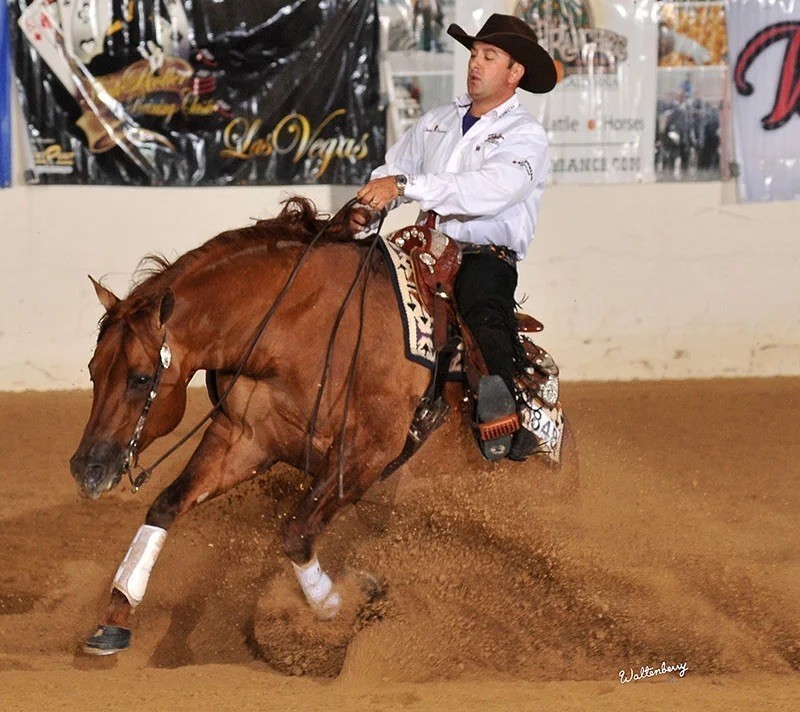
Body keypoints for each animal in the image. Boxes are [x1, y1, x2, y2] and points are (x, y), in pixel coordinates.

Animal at [69, 197, 572, 656]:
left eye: (140, 378)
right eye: (93, 371)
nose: (86, 469)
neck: (296, 325)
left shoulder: (367, 452)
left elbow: (296, 532)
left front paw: (335, 605)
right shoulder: (244, 440)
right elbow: (165, 506)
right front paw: (115, 615)